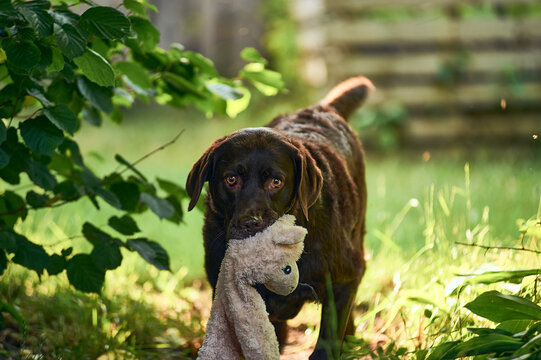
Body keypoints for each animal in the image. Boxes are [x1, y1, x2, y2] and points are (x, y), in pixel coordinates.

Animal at [186, 76, 372, 358]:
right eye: (231, 179)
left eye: (276, 181)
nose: (251, 223)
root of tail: (320, 108)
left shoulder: (342, 280)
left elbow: (328, 339)